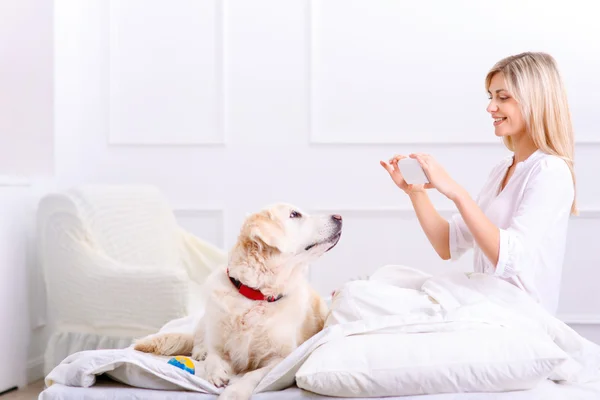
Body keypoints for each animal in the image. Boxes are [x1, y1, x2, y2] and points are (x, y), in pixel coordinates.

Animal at [135, 205, 342, 398]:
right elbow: (213, 358)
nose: (339, 217)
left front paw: (234, 392)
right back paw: (200, 351)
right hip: (207, 318)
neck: (256, 295)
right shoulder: (221, 348)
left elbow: (253, 375)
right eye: (295, 214)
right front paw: (216, 373)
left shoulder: (280, 359)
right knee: (199, 339)